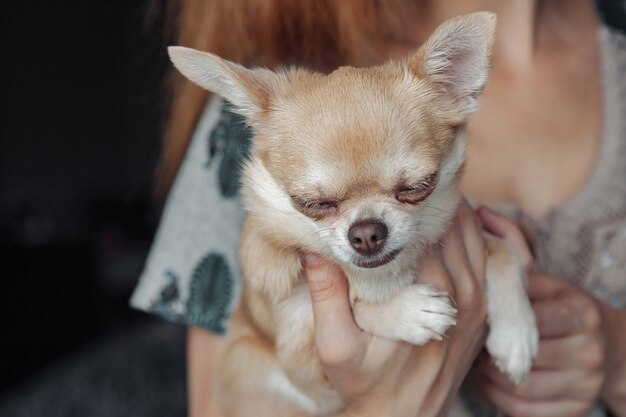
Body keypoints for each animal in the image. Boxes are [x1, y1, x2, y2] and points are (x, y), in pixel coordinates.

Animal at [169, 11, 536, 414]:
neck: (379, 277)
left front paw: (517, 333)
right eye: (311, 203)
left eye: (417, 186)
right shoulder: (304, 358)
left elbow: (501, 248)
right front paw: (408, 311)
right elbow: (355, 309)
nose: (367, 232)